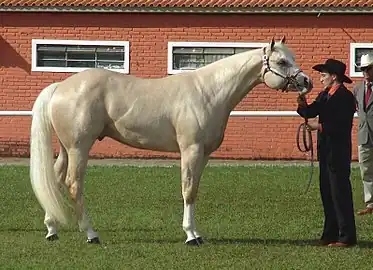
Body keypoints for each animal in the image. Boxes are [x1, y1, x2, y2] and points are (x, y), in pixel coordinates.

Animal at [30, 37, 312, 246]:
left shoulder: (204, 154)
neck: (208, 92)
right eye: (281, 61)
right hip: (79, 147)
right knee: (73, 184)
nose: (306, 82)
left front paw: (196, 233)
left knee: (55, 178)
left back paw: (52, 229)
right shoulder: (190, 150)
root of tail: (61, 86)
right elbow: (188, 190)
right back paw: (91, 234)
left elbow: (194, 189)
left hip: (66, 148)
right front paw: (190, 236)